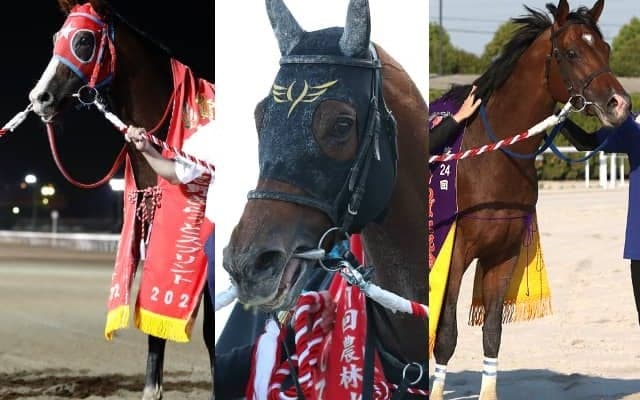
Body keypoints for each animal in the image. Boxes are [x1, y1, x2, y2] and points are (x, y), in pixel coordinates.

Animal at [430, 1, 630, 399]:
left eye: (606, 49)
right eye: (571, 52)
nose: (620, 104)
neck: (487, 157)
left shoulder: (502, 254)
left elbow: (492, 333)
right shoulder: (453, 254)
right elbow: (445, 335)